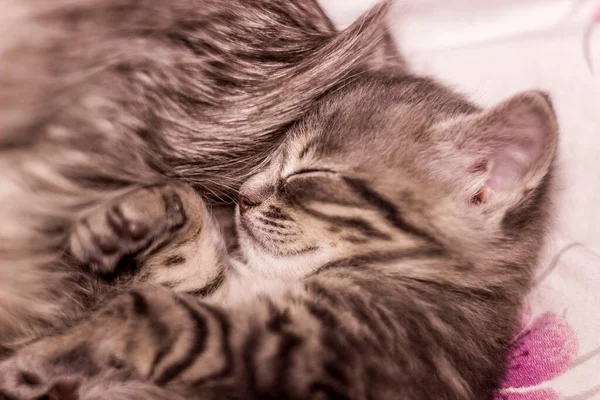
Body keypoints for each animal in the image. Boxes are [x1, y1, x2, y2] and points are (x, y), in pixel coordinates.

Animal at [0, 72, 556, 400]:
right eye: (269, 160)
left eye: (311, 173)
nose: (243, 196)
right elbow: (188, 252)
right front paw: (131, 215)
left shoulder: (312, 351)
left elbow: (155, 310)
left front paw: (46, 355)